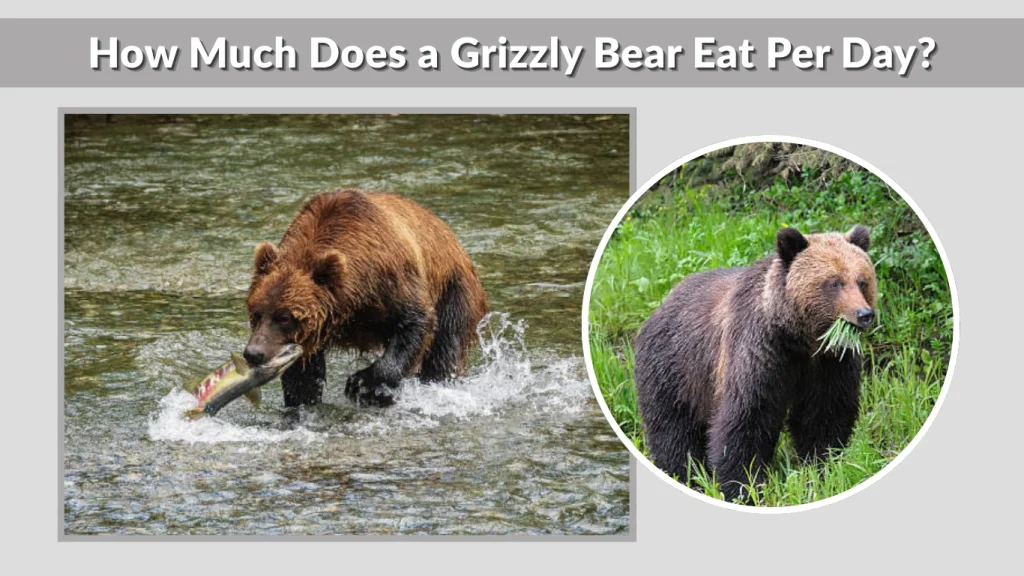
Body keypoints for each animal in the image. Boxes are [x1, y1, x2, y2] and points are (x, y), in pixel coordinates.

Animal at [243, 189, 489, 408]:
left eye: (284, 317)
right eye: (256, 313)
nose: (253, 353)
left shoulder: (391, 280)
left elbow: (415, 323)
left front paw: (361, 384)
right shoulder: (311, 333)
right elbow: (304, 375)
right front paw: (302, 401)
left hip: (454, 289)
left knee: (445, 348)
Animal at [633, 225, 877, 503]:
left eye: (862, 280)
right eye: (834, 282)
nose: (864, 314)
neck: (799, 339)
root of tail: (661, 304)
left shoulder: (830, 362)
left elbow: (825, 414)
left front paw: (822, 469)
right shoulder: (758, 353)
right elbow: (747, 418)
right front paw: (744, 487)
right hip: (676, 368)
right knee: (673, 429)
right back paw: (682, 473)